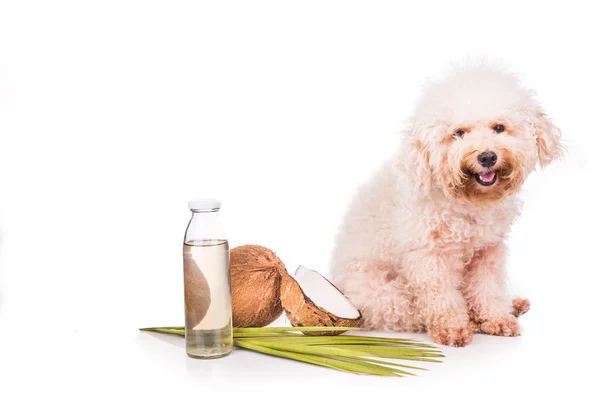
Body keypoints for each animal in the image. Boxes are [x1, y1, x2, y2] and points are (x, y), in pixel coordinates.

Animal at [330, 62, 560, 346]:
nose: (487, 157)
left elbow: (488, 288)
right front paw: (454, 327)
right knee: (410, 314)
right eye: (458, 134)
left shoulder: (487, 250)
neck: (467, 202)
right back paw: (471, 320)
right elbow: (442, 295)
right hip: (384, 294)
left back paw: (510, 306)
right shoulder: (429, 256)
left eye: (499, 128)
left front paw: (497, 319)